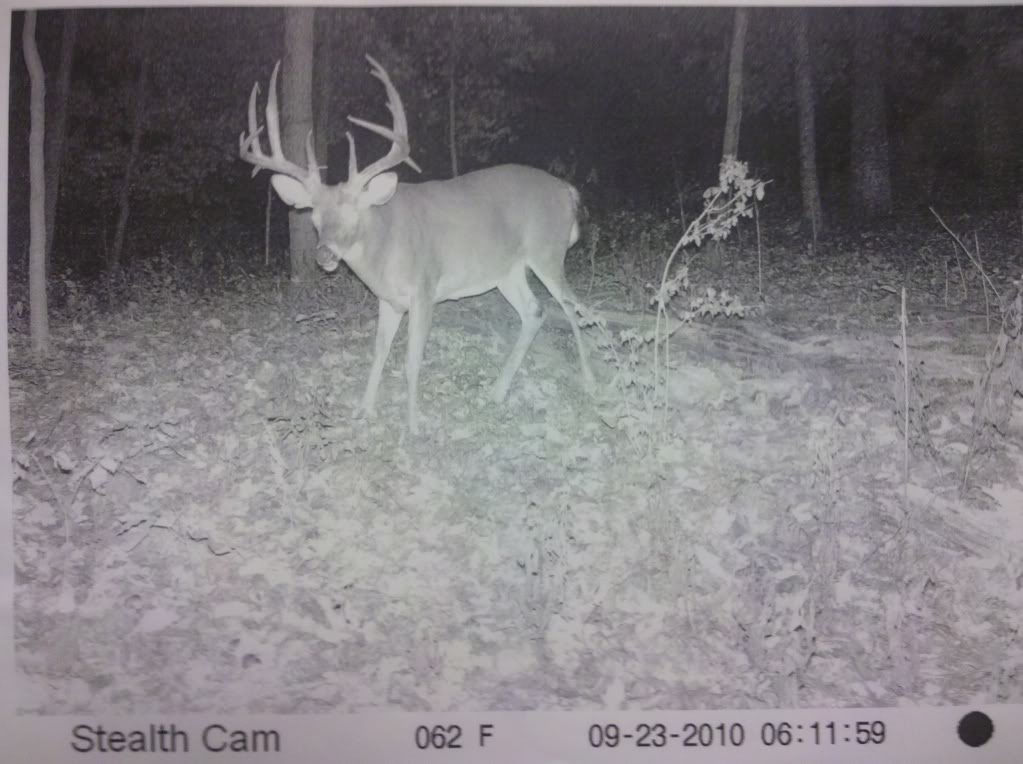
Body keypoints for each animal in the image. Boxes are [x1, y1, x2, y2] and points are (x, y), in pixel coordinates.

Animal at [239, 55, 595, 435]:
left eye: (353, 213)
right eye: (315, 217)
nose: (325, 255)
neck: (385, 249)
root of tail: (567, 191)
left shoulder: (425, 289)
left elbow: (412, 359)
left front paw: (412, 425)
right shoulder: (388, 300)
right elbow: (379, 351)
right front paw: (363, 411)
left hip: (547, 251)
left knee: (572, 307)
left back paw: (588, 379)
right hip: (508, 270)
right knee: (535, 311)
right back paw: (498, 391)